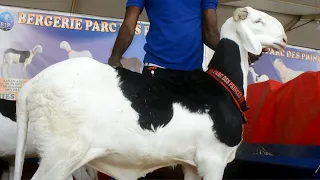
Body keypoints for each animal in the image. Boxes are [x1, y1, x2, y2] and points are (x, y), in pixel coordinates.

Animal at [13, 6, 288, 180]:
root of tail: (31, 86)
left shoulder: (191, 164)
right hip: (59, 154)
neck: (222, 84)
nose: (285, 38)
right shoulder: (213, 160)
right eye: (257, 21)